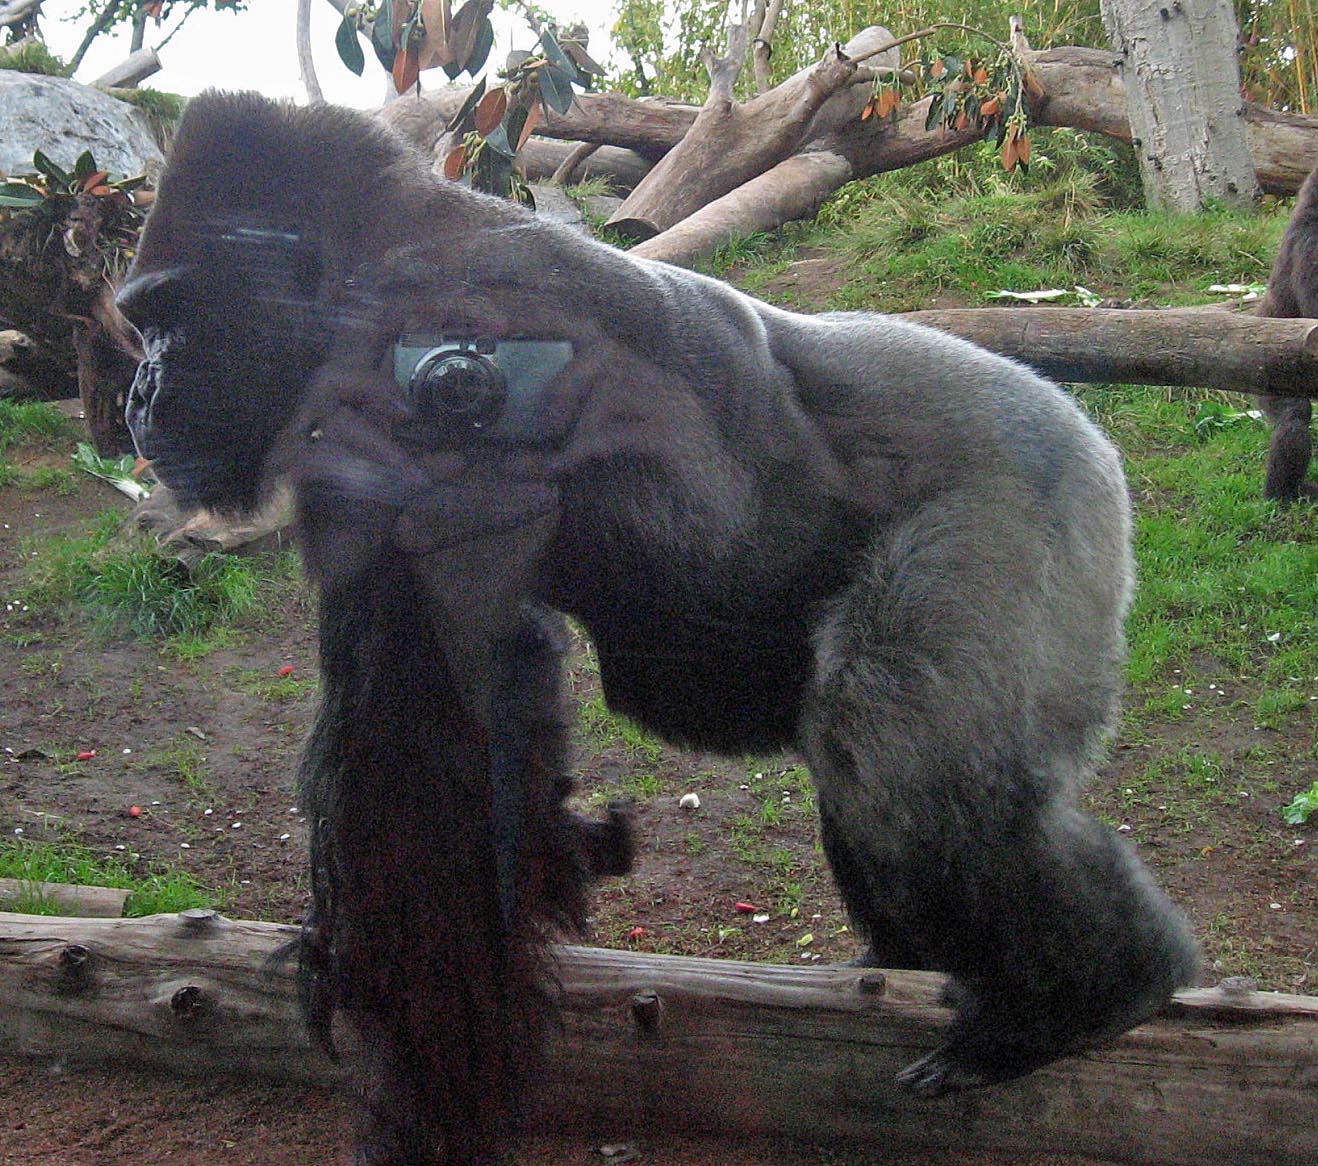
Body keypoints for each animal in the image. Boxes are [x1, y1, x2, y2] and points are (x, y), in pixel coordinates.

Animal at [116, 92, 1198, 1162]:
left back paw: (1090, 997)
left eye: (169, 313)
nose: (136, 396)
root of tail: (1075, 417)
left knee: (901, 770)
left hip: (1032, 488)